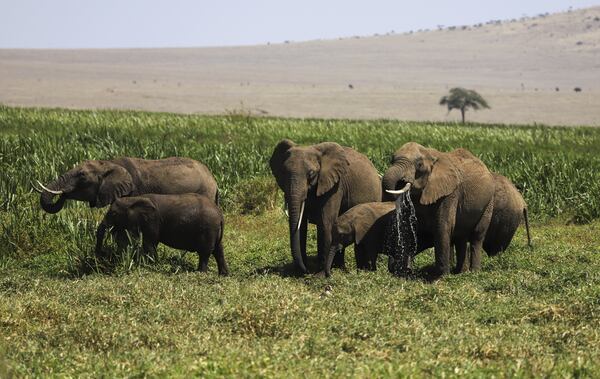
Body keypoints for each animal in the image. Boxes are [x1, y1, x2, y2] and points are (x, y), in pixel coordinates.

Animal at [95, 194, 229, 274]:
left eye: (113, 214)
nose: (100, 257)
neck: (135, 198)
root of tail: (220, 216)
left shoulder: (153, 220)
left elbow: (150, 242)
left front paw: (152, 266)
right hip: (214, 231)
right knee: (218, 250)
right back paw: (224, 275)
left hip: (208, 229)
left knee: (205, 252)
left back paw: (200, 273)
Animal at [270, 139, 382, 274]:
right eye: (283, 172)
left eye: (311, 174)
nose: (307, 270)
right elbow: (301, 226)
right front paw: (298, 272)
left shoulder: (335, 185)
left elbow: (325, 222)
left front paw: (320, 274)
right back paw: (339, 267)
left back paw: (360, 269)